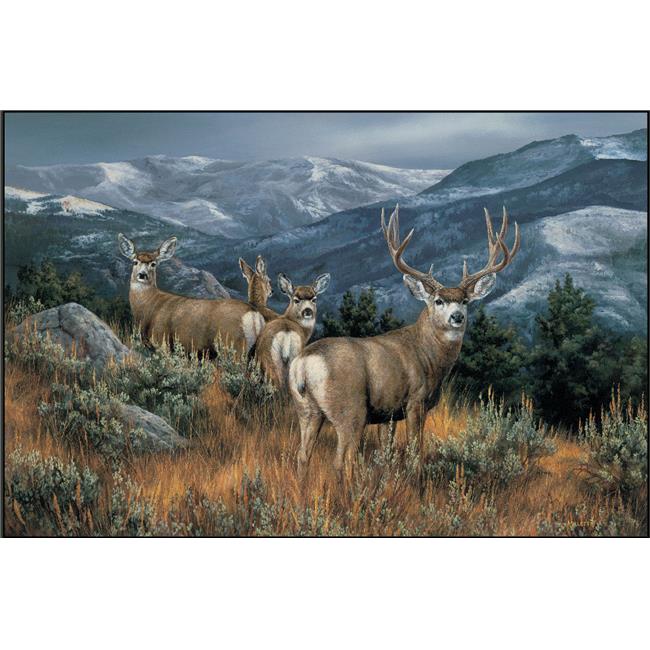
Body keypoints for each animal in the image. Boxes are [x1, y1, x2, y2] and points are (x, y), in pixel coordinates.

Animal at [118, 234, 265, 356]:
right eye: (135, 261)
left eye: (153, 264)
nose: (142, 275)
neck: (149, 306)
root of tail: (254, 316)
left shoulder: (162, 341)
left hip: (234, 345)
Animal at [288, 205, 520, 477]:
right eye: (438, 300)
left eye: (465, 301)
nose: (457, 317)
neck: (428, 357)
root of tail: (303, 364)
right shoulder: (416, 401)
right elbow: (414, 453)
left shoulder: (388, 413)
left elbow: (386, 453)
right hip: (350, 408)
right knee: (341, 459)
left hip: (306, 410)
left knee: (303, 456)